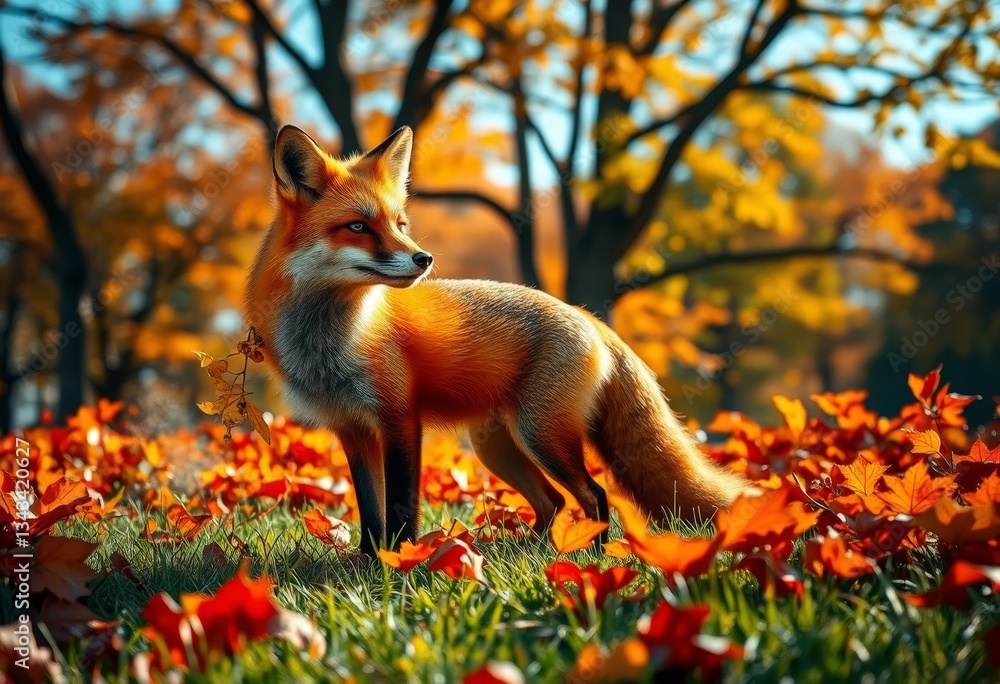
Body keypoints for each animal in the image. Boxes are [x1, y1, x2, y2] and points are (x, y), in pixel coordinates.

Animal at [245, 124, 752, 556]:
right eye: (357, 227)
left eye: (399, 224)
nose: (424, 259)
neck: (330, 342)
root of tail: (588, 317)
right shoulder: (351, 430)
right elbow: (371, 513)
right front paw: (368, 562)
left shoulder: (399, 421)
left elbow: (401, 508)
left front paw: (401, 562)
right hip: (499, 448)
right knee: (553, 502)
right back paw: (528, 551)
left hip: (541, 435)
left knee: (593, 494)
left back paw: (592, 555)